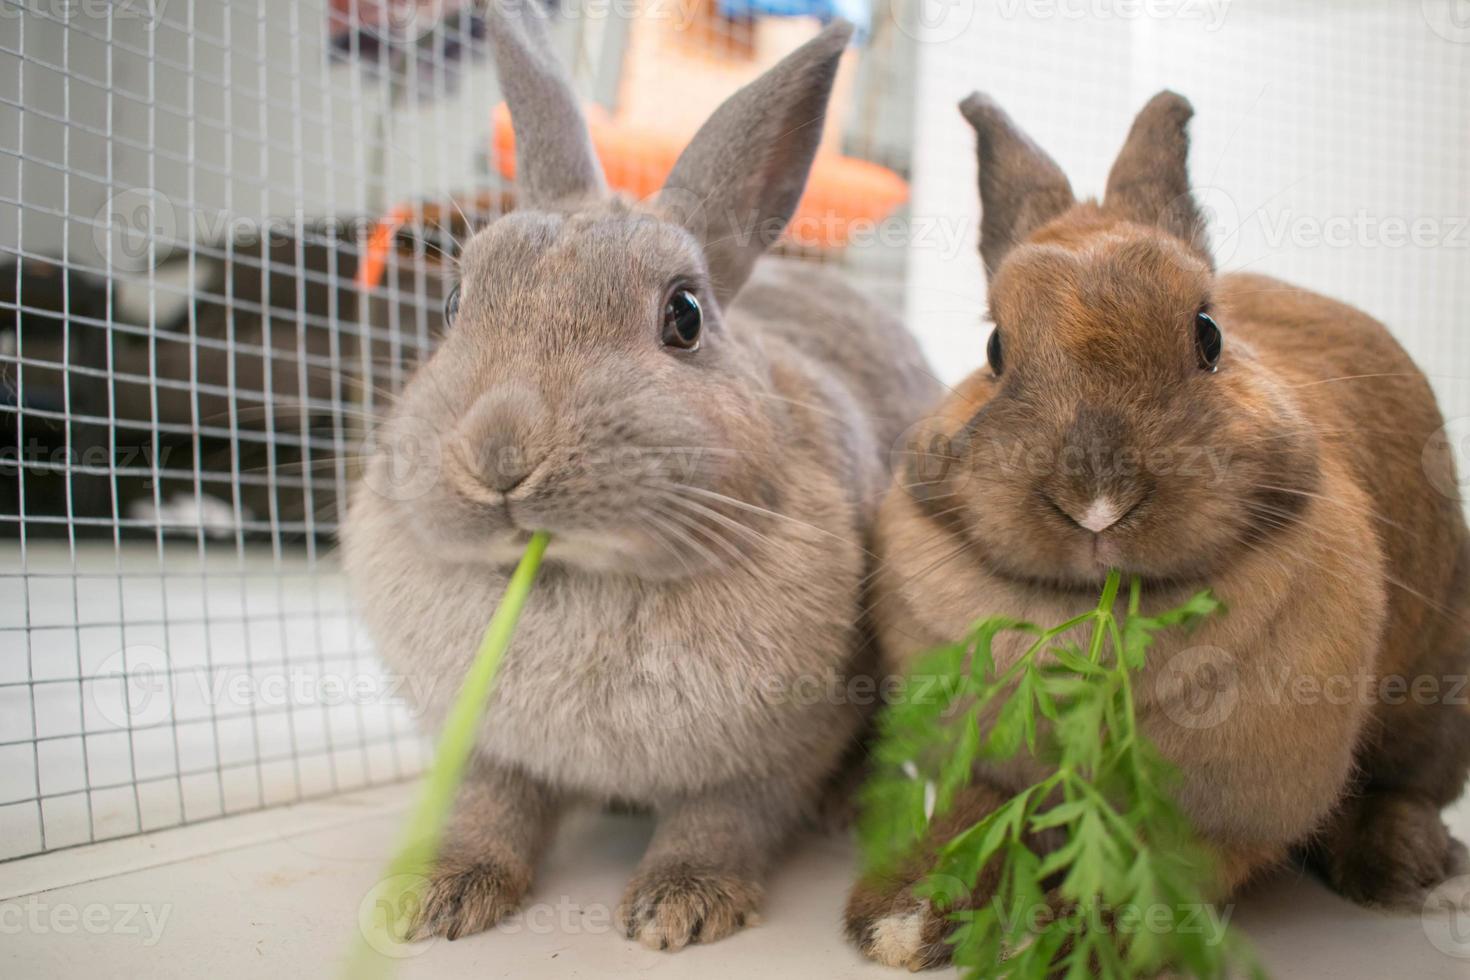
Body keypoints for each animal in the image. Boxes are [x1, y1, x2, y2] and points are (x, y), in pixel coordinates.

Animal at [339, 0, 934, 952]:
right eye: (454, 305)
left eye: (684, 317)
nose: (501, 456)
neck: (576, 577)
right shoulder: (485, 747)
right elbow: (487, 809)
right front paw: (437, 895)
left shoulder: (772, 754)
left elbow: (723, 819)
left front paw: (680, 907)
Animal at [846, 89, 1470, 963]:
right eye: (995, 348)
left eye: (1208, 334)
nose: (1098, 499)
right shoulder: (979, 763)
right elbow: (969, 820)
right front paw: (898, 918)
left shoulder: (1222, 814)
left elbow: (1150, 871)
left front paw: (1073, 945)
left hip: (1440, 686)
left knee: (1409, 783)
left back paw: (1404, 865)